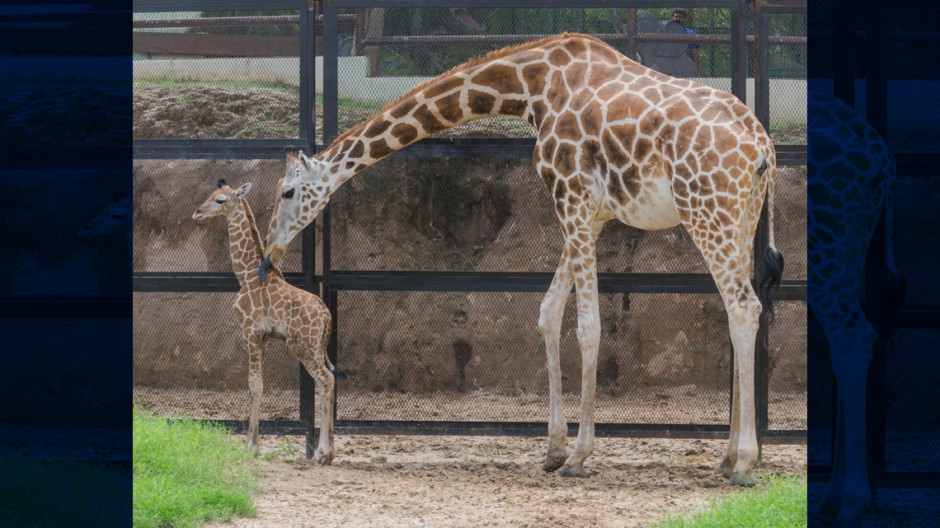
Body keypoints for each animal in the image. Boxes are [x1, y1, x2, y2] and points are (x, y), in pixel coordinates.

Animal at [192, 179, 340, 464]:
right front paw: (254, 442)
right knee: (329, 382)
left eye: (220, 200)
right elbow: (259, 385)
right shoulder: (266, 338)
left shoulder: (249, 331)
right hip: (317, 347)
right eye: (211, 194)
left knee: (326, 380)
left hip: (302, 346)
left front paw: (251, 445)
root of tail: (327, 317)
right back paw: (326, 453)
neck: (246, 273)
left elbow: (254, 386)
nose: (197, 212)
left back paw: (321, 454)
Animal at [261, 33, 783, 483]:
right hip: (741, 216)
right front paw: (553, 449)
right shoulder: (591, 213)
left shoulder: (570, 195)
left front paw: (578, 455)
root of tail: (764, 148)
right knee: (739, 312)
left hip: (705, 210)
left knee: (744, 307)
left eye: (287, 192)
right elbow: (548, 313)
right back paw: (727, 457)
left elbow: (587, 326)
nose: (269, 255)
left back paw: (744, 463)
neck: (533, 87)